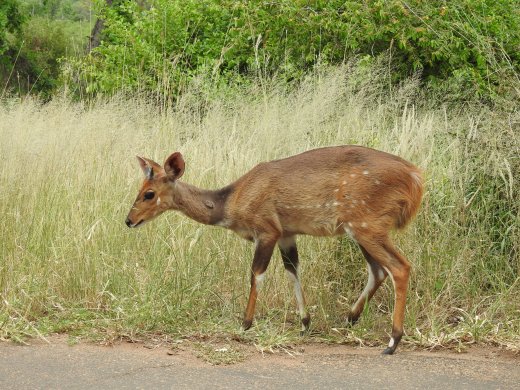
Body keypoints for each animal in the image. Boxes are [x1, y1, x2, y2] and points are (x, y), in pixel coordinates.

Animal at [126, 145, 422, 354]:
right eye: (140, 189)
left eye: (149, 194)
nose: (129, 220)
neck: (230, 202)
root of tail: (415, 178)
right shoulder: (286, 235)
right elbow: (292, 270)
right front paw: (304, 324)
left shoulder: (267, 230)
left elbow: (256, 274)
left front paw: (244, 324)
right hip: (362, 228)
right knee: (379, 270)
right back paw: (350, 319)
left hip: (366, 225)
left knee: (399, 267)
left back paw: (392, 342)